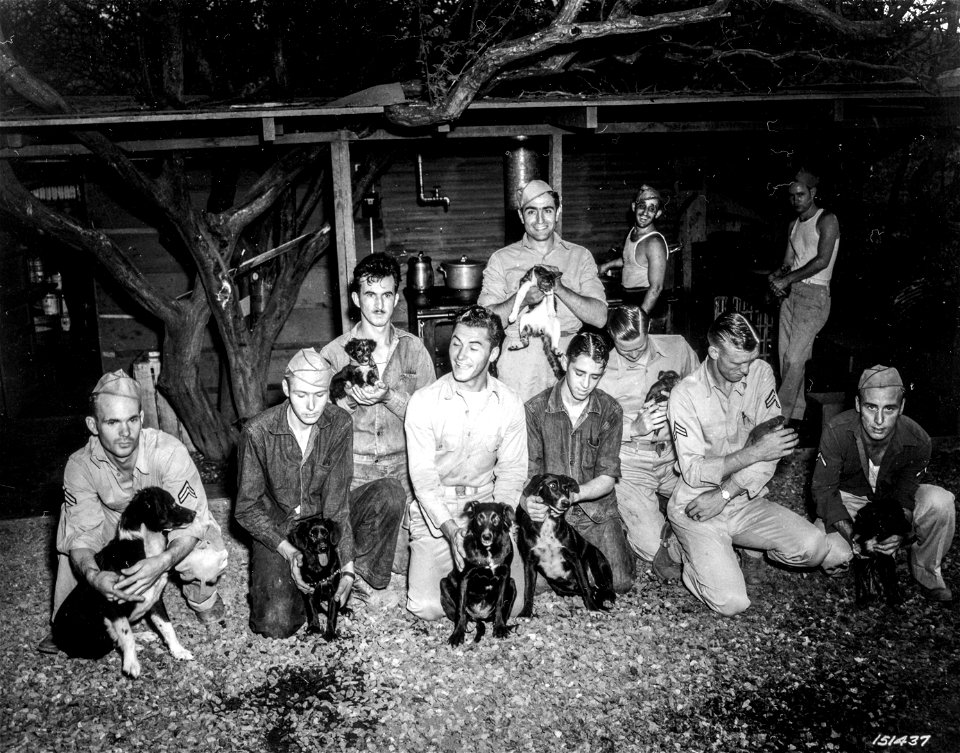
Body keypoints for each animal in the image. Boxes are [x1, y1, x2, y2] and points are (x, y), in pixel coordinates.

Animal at [51, 484, 198, 680]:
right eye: (172, 504)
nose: (195, 513)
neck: (144, 547)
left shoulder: (155, 599)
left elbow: (167, 627)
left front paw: (179, 651)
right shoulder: (114, 604)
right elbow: (126, 635)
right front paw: (131, 664)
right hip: (96, 637)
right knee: (113, 640)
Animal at [440, 500, 516, 648]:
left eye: (496, 518)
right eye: (479, 518)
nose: (486, 536)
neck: (488, 551)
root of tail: (480, 616)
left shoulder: (505, 575)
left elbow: (500, 604)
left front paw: (500, 628)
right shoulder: (464, 577)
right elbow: (461, 609)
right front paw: (457, 634)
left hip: (512, 584)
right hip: (444, 583)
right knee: (462, 614)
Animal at [516, 476, 616, 616]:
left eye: (567, 488)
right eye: (552, 486)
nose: (566, 503)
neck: (548, 521)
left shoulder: (575, 558)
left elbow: (585, 585)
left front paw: (593, 608)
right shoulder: (529, 562)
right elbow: (528, 590)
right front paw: (525, 612)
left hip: (597, 563)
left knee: (607, 589)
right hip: (557, 585)